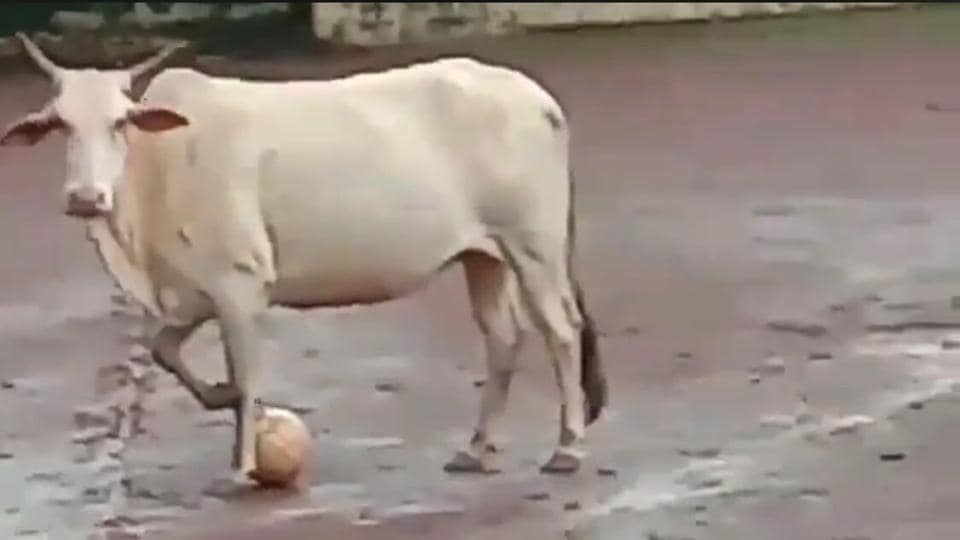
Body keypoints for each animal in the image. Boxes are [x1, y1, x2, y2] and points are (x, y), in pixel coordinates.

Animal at [0, 32, 608, 480]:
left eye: (120, 122)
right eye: (59, 123)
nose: (85, 198)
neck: (160, 163)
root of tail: (537, 98)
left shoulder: (241, 283)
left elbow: (246, 374)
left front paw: (243, 465)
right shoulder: (196, 292)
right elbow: (164, 349)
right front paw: (221, 396)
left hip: (534, 245)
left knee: (560, 330)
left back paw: (567, 448)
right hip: (485, 257)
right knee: (503, 339)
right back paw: (478, 449)